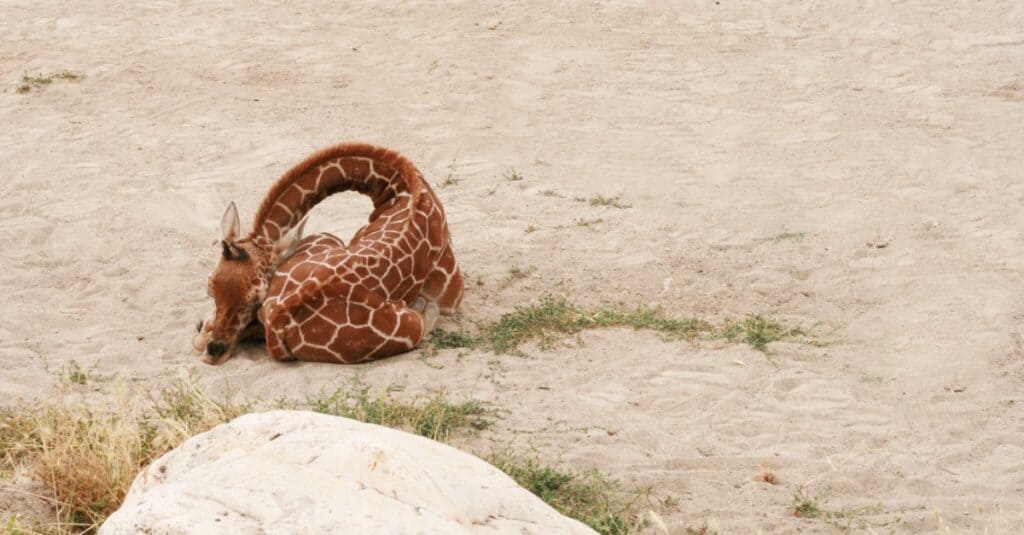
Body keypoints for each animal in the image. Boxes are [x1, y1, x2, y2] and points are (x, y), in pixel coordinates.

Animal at [192, 142, 464, 362]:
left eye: (255, 298)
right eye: (209, 289)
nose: (215, 351)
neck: (401, 188)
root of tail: (281, 318)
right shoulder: (451, 292)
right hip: (408, 325)